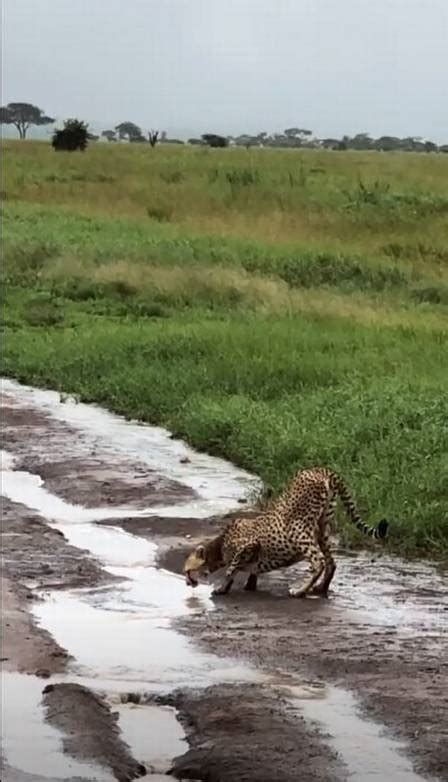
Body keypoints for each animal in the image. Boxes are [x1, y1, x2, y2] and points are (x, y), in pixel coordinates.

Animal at [184, 468, 386, 596]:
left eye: (186, 571)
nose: (187, 582)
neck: (218, 547)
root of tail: (320, 469)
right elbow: (246, 569)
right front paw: (249, 584)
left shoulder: (249, 544)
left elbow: (231, 568)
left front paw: (222, 588)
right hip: (322, 528)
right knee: (331, 561)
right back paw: (321, 588)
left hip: (297, 528)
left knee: (319, 561)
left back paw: (300, 591)